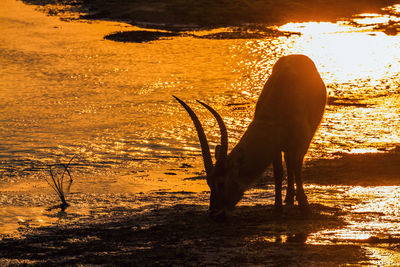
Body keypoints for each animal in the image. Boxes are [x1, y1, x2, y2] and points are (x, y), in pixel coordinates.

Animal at [173, 54, 326, 220]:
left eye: (220, 183)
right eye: (209, 182)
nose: (215, 213)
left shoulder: (302, 142)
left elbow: (297, 168)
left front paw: (305, 206)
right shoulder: (275, 147)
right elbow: (278, 173)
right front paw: (277, 208)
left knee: (292, 163)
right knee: (288, 162)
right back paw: (289, 198)